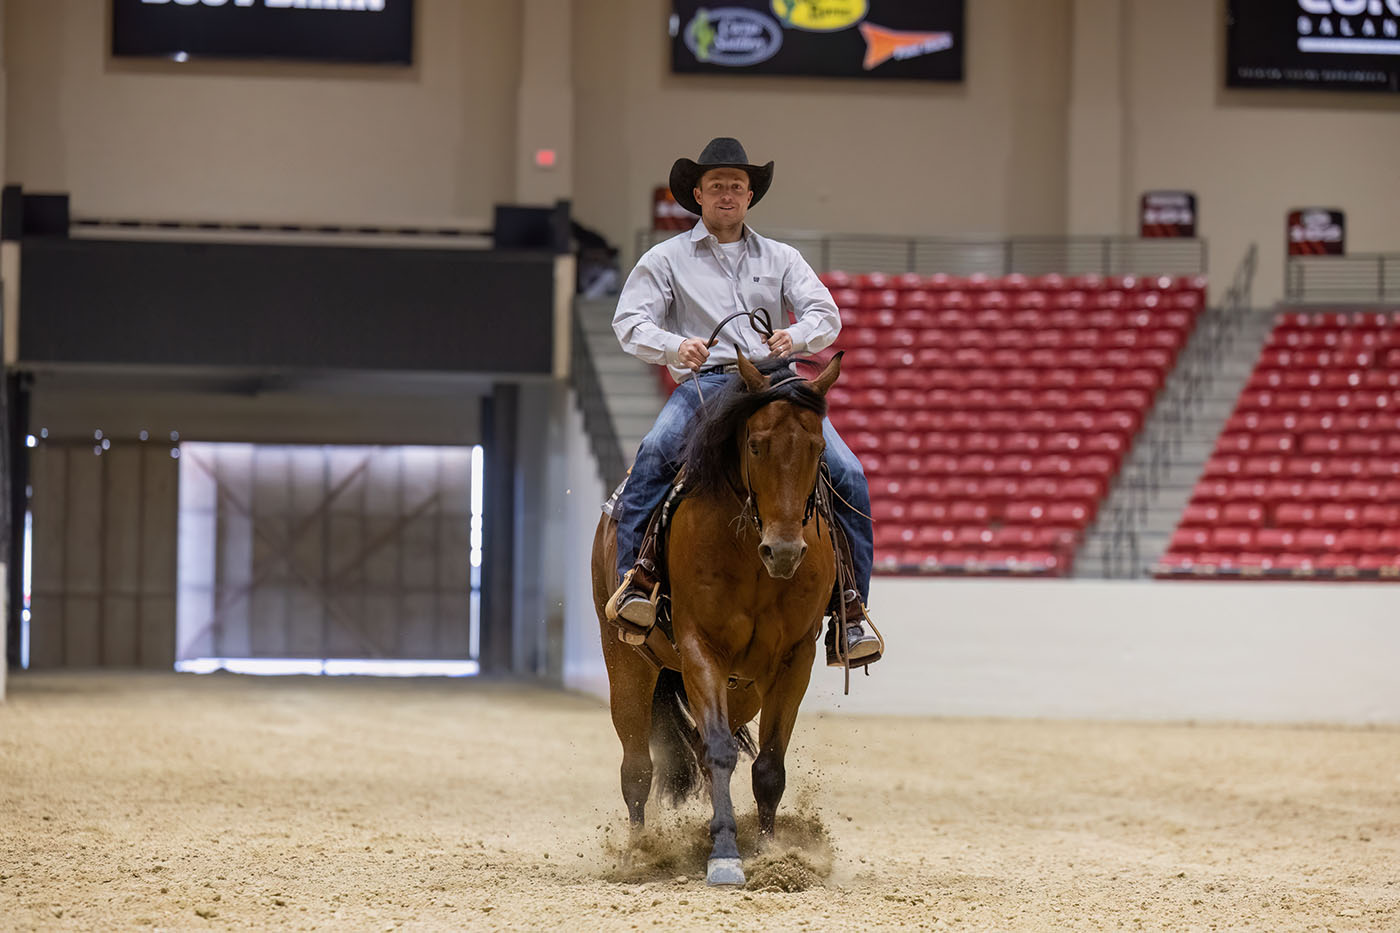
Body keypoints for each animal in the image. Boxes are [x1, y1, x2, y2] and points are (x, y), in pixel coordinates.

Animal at [591, 350, 843, 887]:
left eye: (817, 448)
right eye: (755, 444)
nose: (784, 551)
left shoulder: (795, 659)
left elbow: (768, 767)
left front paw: (770, 854)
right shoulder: (700, 648)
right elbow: (720, 752)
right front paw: (726, 855)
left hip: (742, 687)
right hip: (627, 661)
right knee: (637, 768)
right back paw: (639, 853)